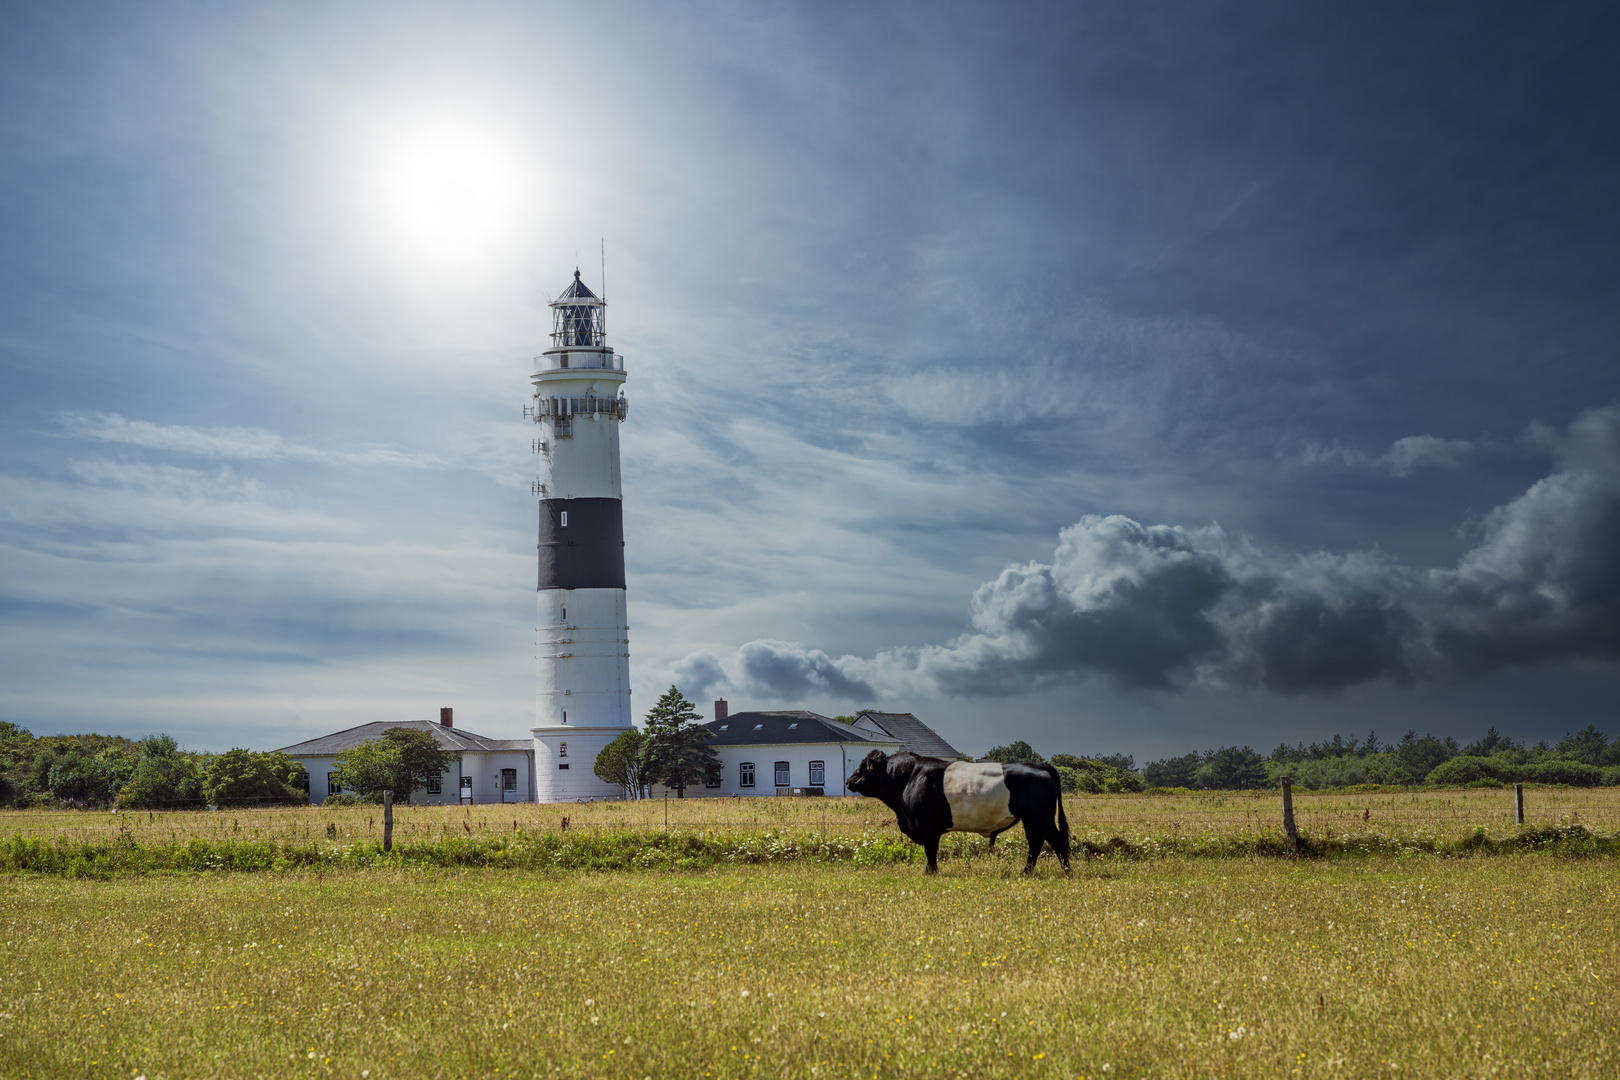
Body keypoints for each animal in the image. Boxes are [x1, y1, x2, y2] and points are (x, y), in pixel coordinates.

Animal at [842, 757, 1069, 874]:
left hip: (1042, 818)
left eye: (863, 767)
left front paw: (930, 872)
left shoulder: (926, 824)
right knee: (1035, 843)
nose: (848, 781)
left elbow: (930, 850)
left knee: (1057, 841)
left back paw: (1067, 871)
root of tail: (1039, 764)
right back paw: (1026, 871)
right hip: (1031, 820)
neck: (909, 778)